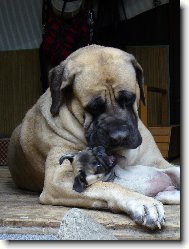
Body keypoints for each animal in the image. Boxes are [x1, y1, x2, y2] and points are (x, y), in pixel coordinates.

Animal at [7, 44, 180, 230]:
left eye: (129, 99)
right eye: (93, 108)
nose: (119, 136)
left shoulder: (158, 162)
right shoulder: (58, 179)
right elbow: (107, 186)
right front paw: (143, 202)